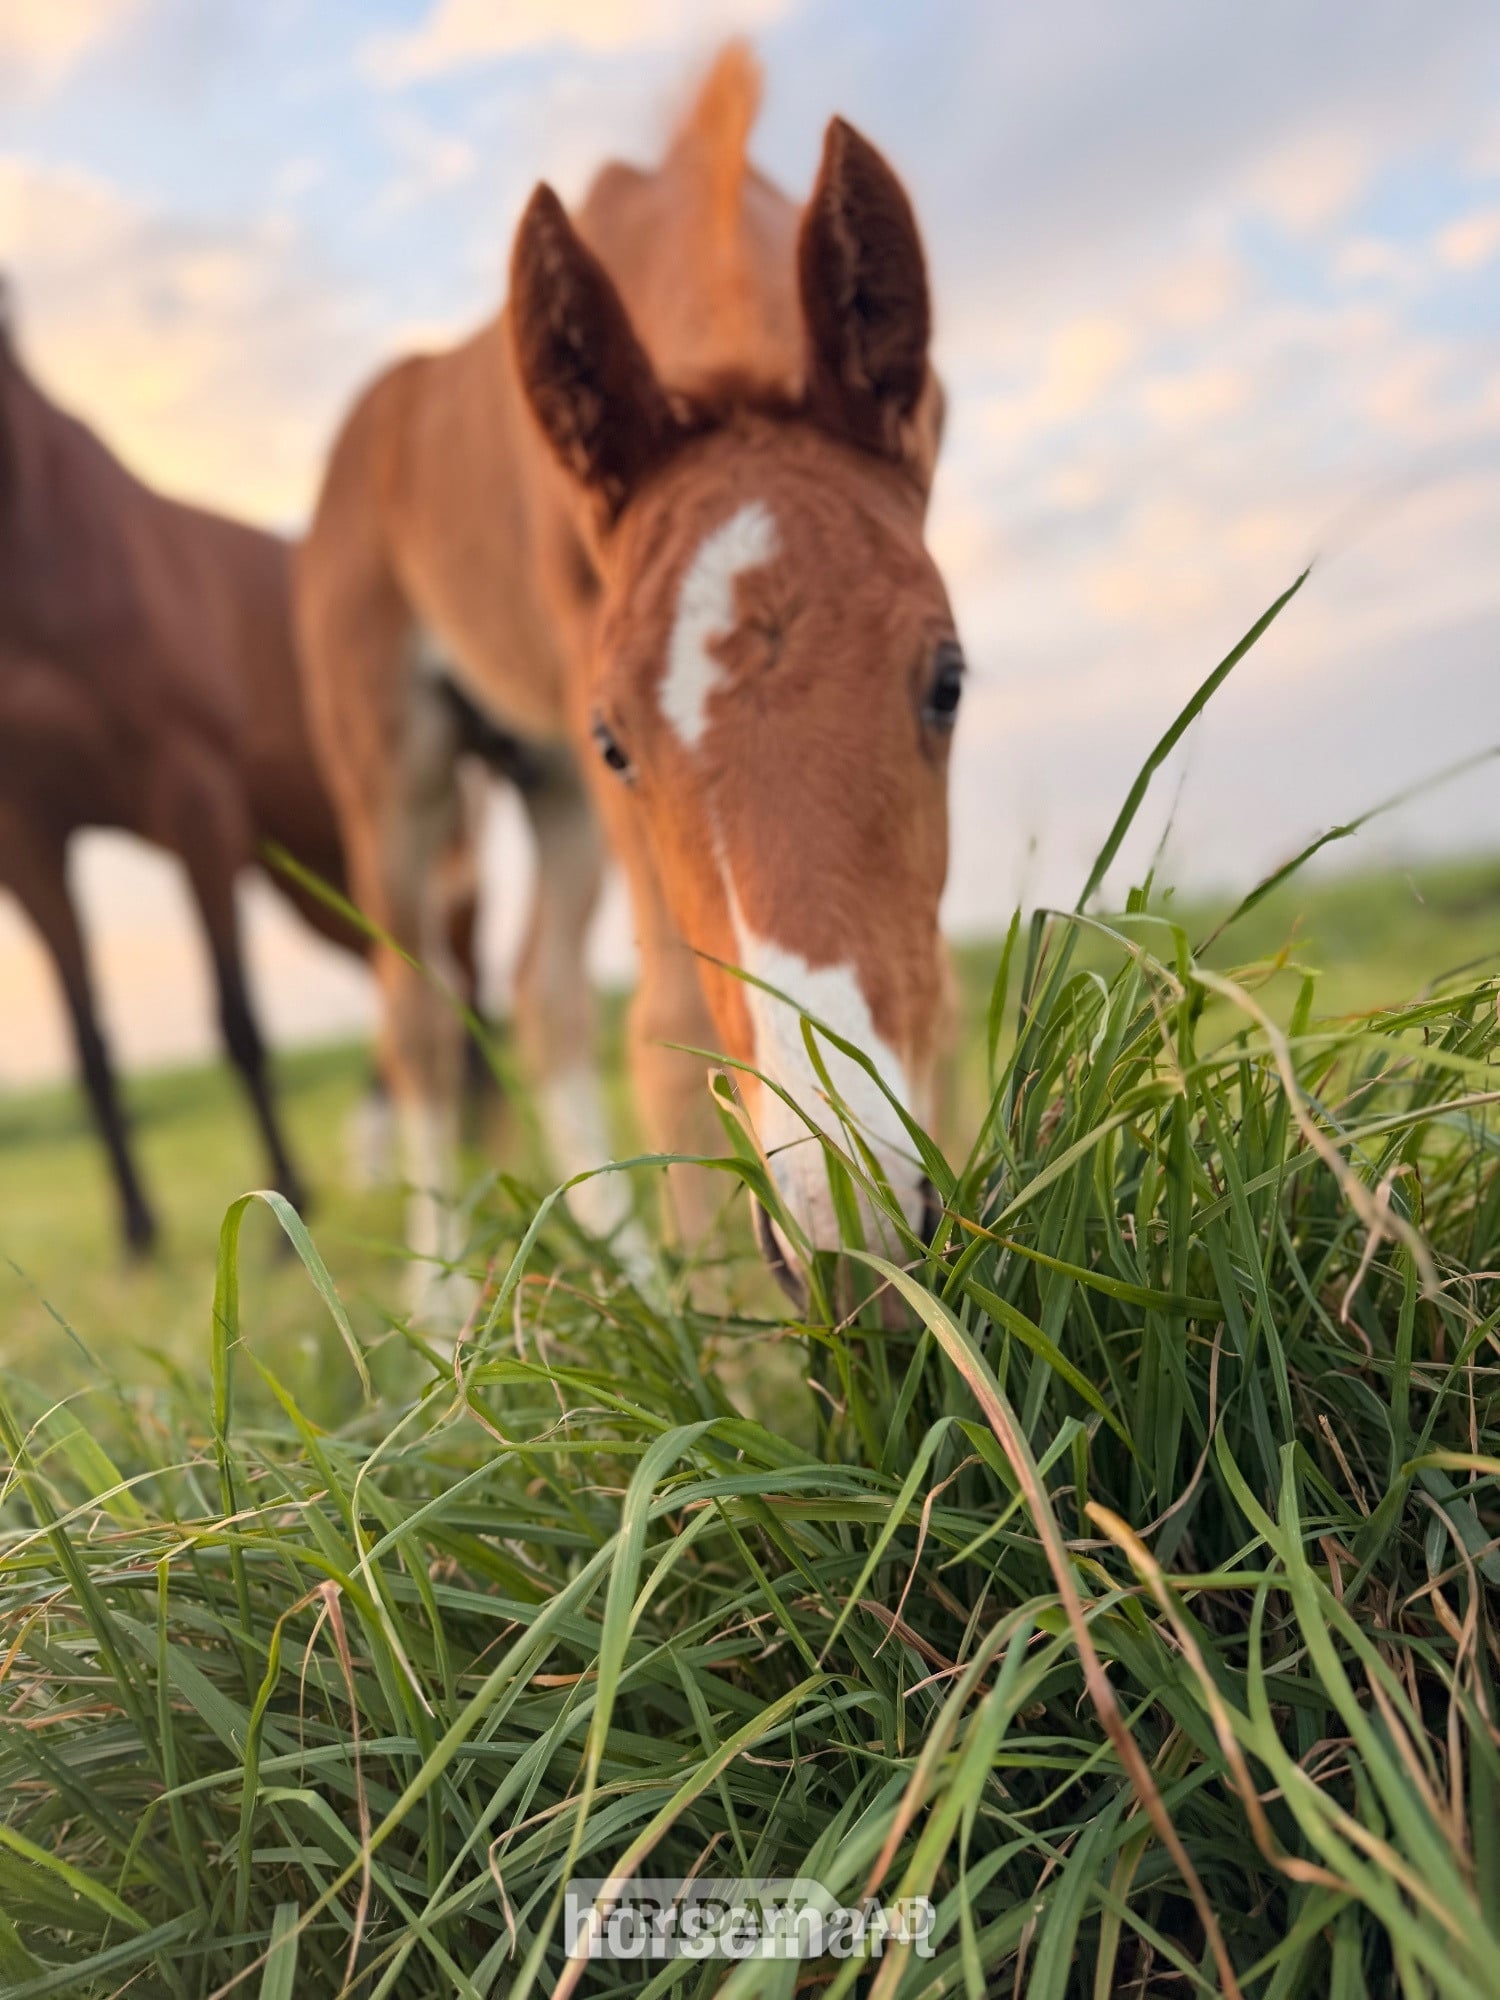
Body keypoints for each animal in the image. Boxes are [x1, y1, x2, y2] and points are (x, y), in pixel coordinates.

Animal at [0, 290, 397, 1252]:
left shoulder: (195, 798)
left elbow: (239, 1021)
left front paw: (287, 1209)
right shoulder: (26, 838)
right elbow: (89, 1047)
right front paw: (137, 1230)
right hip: (308, 876)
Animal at [297, 45, 960, 1315]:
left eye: (948, 681)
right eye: (619, 737)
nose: (848, 1237)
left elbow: (929, 967)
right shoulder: (580, 693)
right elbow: (664, 1017)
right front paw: (735, 1336)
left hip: (543, 784)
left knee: (541, 993)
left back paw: (633, 1277)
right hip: (397, 775)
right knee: (421, 1015)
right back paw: (445, 1315)